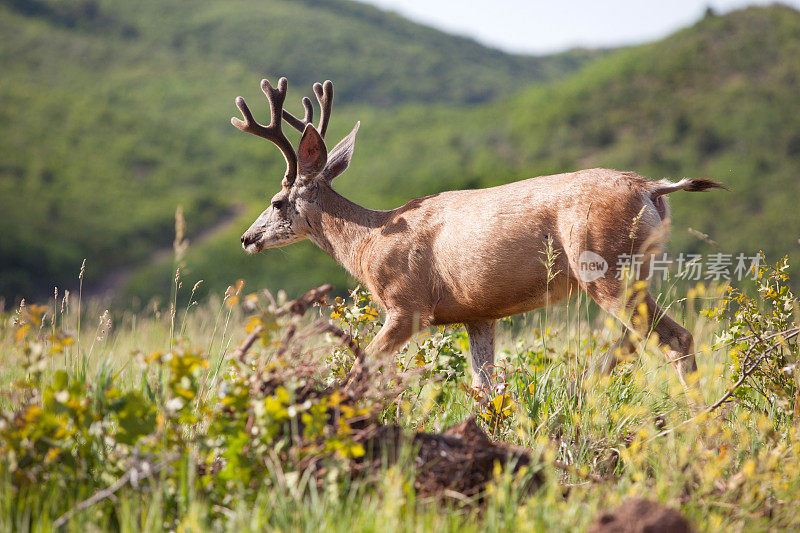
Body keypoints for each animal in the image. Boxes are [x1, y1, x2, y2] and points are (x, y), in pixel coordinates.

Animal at [230, 76, 724, 390]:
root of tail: (651, 187)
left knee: (674, 338)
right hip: (633, 272)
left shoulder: (407, 305)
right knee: (639, 342)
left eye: (277, 202)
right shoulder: (479, 313)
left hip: (602, 267)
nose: (247, 239)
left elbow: (361, 369)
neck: (369, 240)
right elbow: (483, 387)